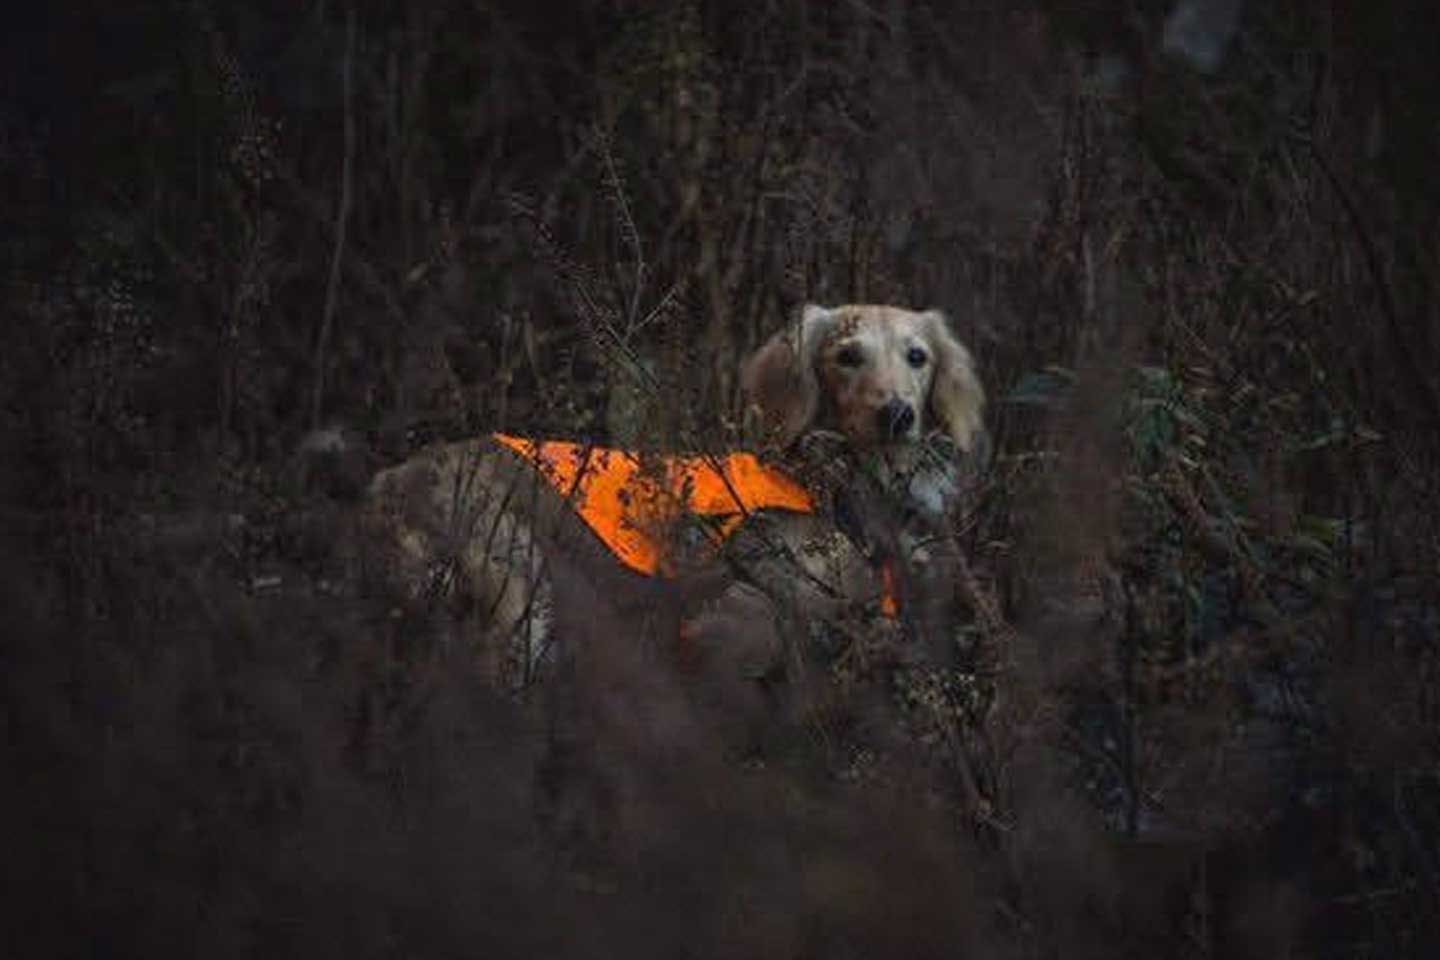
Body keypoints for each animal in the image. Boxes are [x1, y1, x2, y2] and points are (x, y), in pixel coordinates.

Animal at [365, 303, 984, 687]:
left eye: (918, 356)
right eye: (847, 356)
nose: (897, 415)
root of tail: (388, 484)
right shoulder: (729, 628)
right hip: (520, 600)